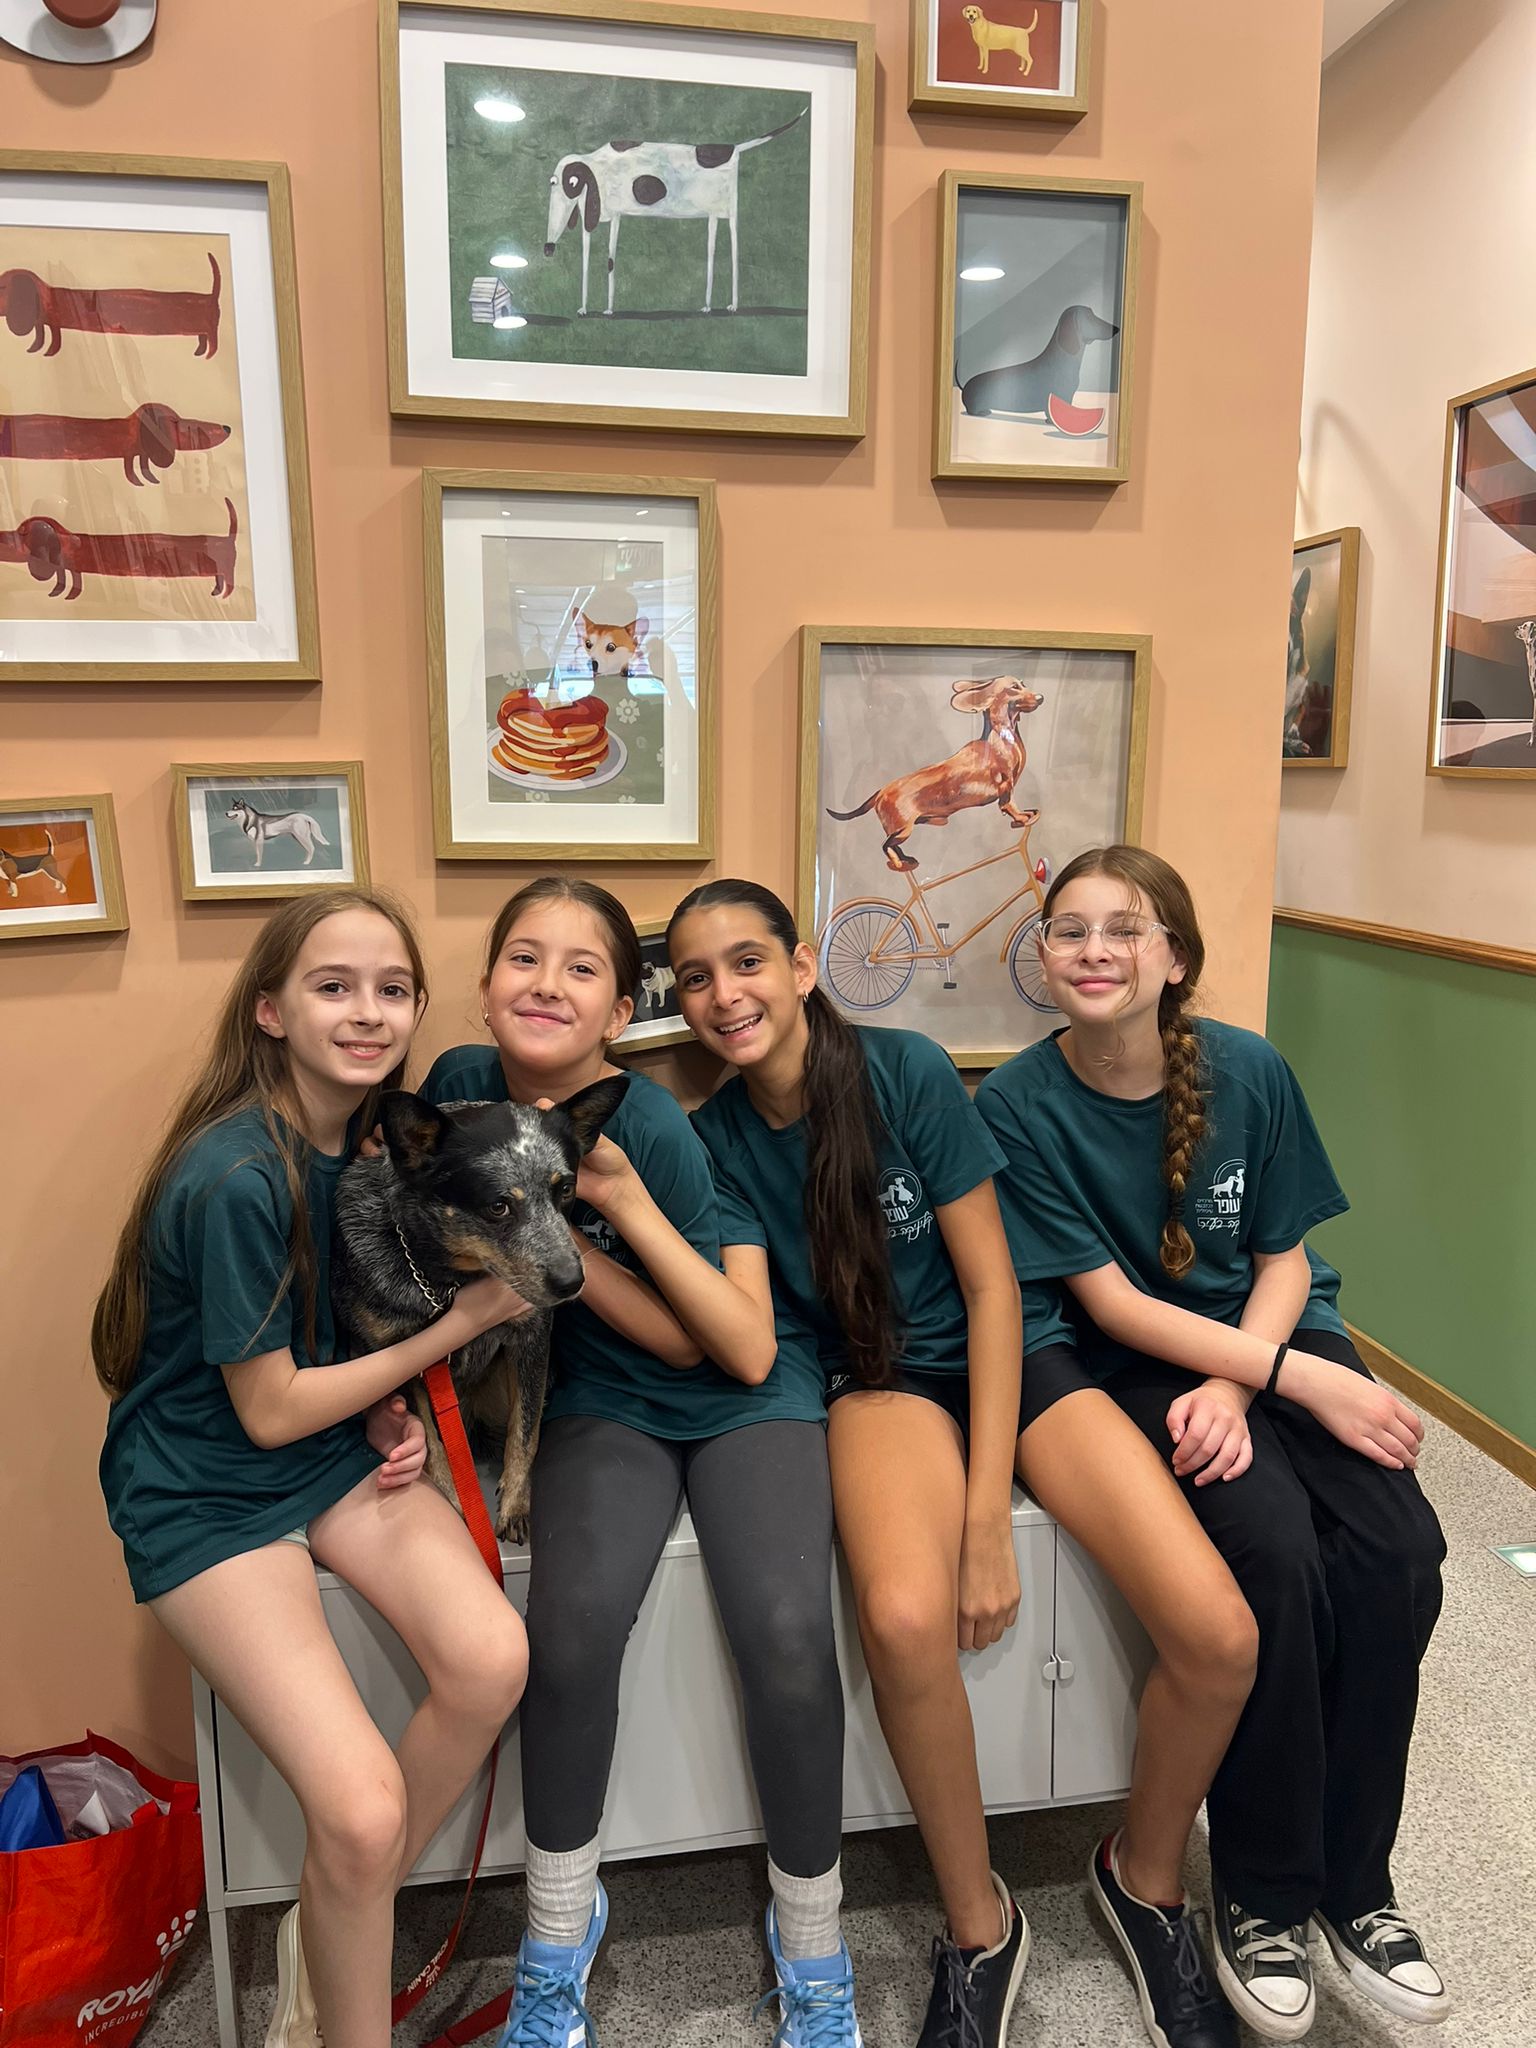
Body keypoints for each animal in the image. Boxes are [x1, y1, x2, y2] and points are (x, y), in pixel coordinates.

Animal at [0, 252, 222, 358]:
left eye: (2, 286)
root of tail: (211, 297)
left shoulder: (54, 324)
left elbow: (54, 340)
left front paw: (48, 354)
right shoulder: (41, 323)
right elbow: (40, 336)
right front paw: (34, 350)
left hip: (211, 329)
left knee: (213, 343)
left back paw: (207, 357)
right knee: (203, 340)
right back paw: (198, 352)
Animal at [0, 498, 238, 600]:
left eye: (23, 532)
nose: (3, 536)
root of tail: (228, 539)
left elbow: (72, 582)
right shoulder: (66, 568)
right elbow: (66, 581)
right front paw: (59, 594)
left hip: (228, 571)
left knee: (230, 583)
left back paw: (223, 596)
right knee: (219, 579)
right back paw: (215, 592)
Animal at [332, 1079, 629, 1541]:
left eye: (564, 1189)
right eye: (498, 1205)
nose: (572, 1282)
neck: (447, 1282)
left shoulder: (532, 1338)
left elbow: (525, 1431)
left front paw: (515, 1504)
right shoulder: (400, 1358)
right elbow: (433, 1441)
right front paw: (454, 1504)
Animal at [545, 108, 806, 317]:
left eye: (571, 183)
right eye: (555, 183)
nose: (548, 248)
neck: (596, 166)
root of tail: (733, 148)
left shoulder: (609, 211)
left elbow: (604, 260)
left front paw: (604, 309)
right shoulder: (606, 213)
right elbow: (598, 259)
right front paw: (589, 308)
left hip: (730, 211)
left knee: (734, 251)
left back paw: (732, 305)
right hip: (714, 214)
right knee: (712, 251)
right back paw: (707, 305)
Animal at [827, 675, 1045, 872]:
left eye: (1023, 684)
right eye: (1014, 687)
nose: (1041, 697)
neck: (1001, 741)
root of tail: (880, 793)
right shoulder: (1006, 785)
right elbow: (1009, 805)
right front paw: (1022, 817)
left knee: (893, 846)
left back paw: (907, 860)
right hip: (903, 829)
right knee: (886, 845)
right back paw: (899, 863)